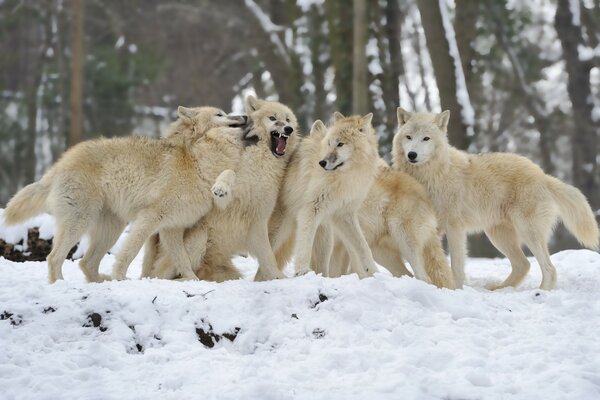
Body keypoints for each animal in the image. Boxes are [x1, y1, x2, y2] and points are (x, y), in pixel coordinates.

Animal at [2, 104, 246, 282]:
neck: (197, 164)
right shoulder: (149, 218)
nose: (244, 116)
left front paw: (193, 281)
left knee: (86, 263)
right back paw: (63, 285)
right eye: (220, 114)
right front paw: (121, 277)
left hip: (111, 229)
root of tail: (59, 164)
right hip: (80, 223)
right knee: (54, 258)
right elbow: (130, 252)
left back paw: (102, 282)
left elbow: (183, 260)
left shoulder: (172, 228)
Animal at [143, 96, 298, 282]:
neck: (260, 162)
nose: (288, 129)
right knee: (164, 274)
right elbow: (229, 173)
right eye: (273, 118)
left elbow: (268, 257)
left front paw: (276, 277)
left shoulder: (259, 218)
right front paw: (221, 187)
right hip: (199, 239)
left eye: (288, 119)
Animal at [394, 108, 600, 290]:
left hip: (527, 232)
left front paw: (456, 290)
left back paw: (540, 292)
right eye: (409, 137)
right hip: (498, 236)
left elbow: (457, 266)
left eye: (426, 138)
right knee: (523, 264)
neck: (432, 175)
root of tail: (543, 175)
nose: (412, 155)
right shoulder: (431, 229)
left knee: (549, 268)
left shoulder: (455, 227)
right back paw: (500, 289)